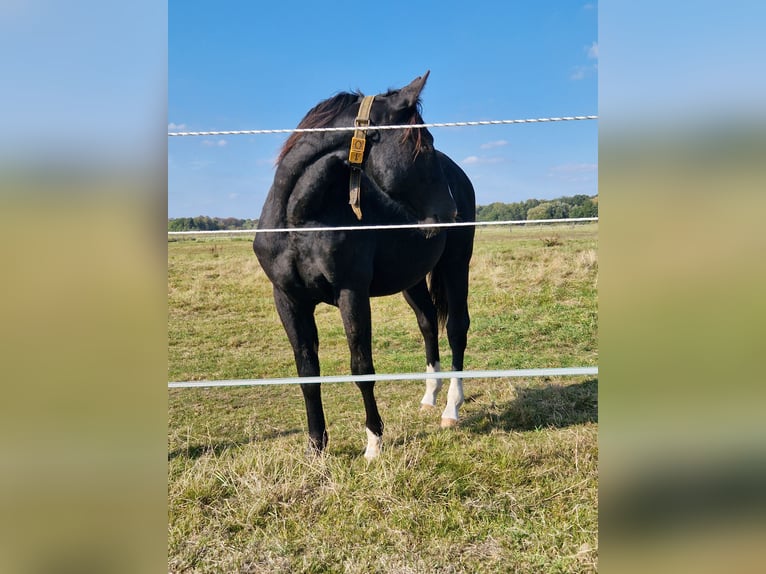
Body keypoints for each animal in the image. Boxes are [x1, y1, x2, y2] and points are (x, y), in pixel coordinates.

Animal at [253, 72, 475, 459]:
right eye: (424, 146)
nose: (450, 213)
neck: (298, 219)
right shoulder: (288, 299)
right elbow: (307, 371)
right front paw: (316, 448)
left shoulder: (351, 293)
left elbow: (361, 367)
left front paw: (374, 442)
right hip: (412, 279)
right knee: (428, 322)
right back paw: (429, 396)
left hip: (456, 265)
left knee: (456, 328)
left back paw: (451, 409)